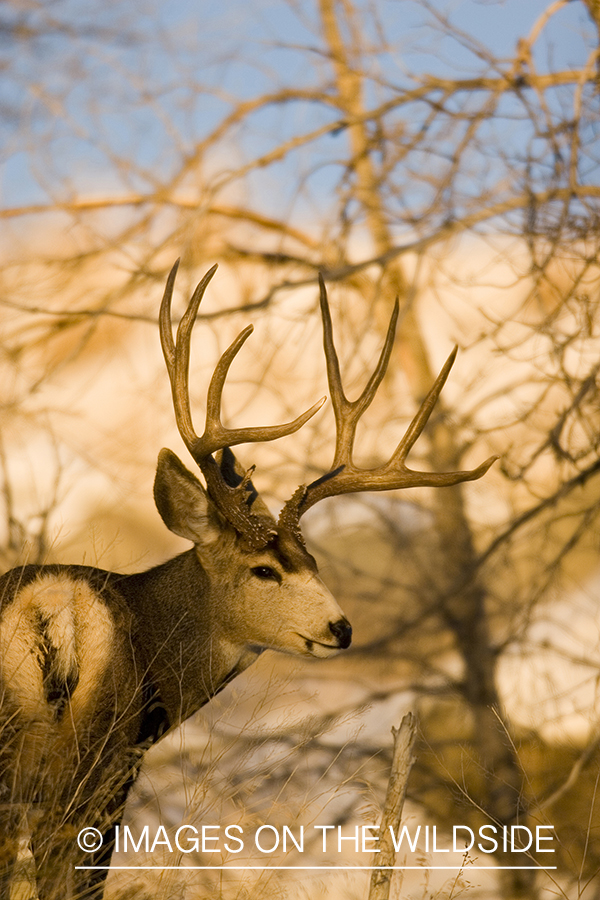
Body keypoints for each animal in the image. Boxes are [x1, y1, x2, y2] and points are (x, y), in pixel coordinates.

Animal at [0, 264, 494, 896]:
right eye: (264, 570)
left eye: (315, 564)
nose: (341, 629)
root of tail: (51, 616)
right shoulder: (123, 761)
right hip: (89, 759)